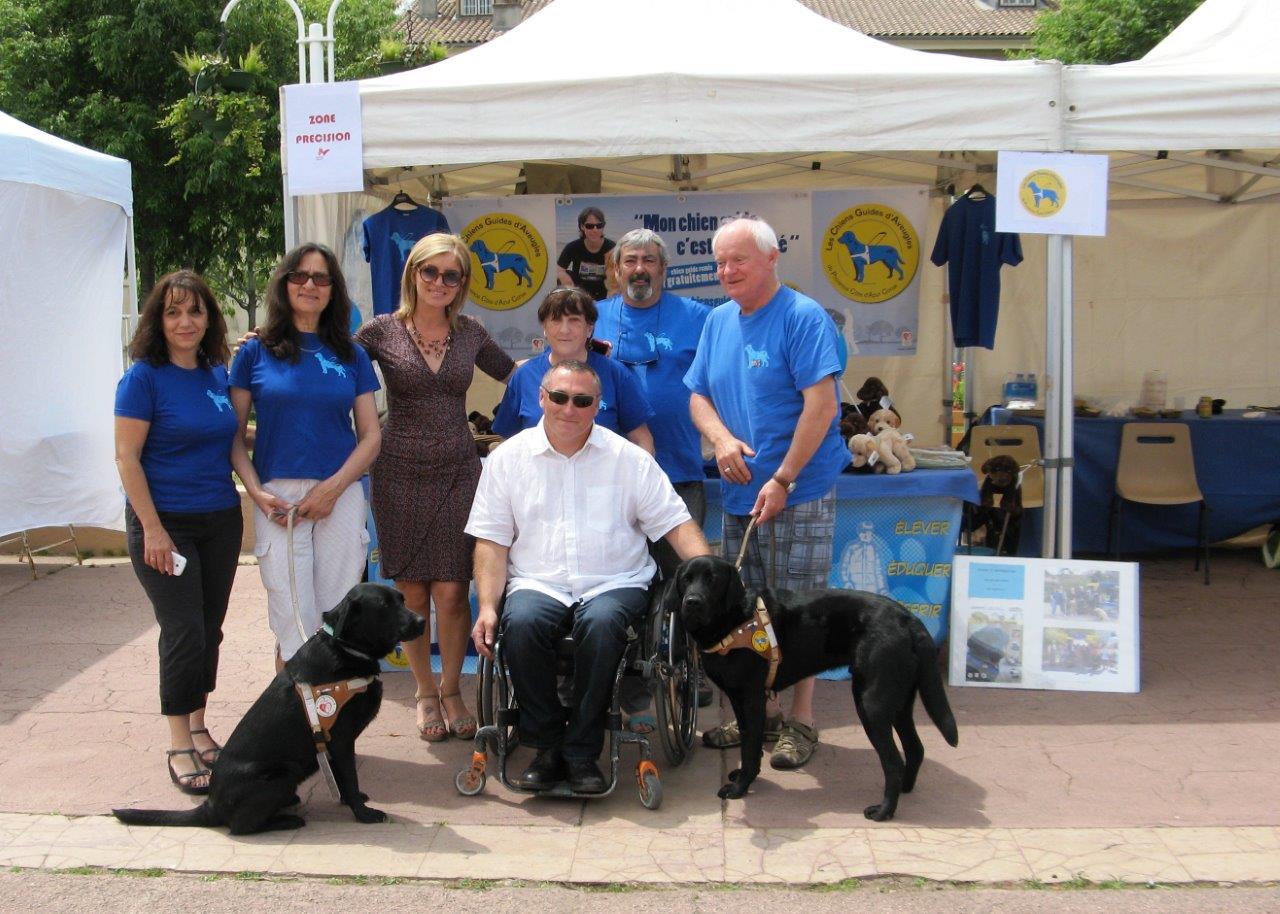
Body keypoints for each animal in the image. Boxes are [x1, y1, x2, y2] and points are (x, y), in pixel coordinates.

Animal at [112, 583, 422, 834]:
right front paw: (363, 813)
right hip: (281, 776)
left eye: (402, 599)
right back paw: (287, 821)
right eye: (384, 606)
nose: (421, 620)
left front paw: (348, 800)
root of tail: (210, 805)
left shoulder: (332, 742)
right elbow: (349, 776)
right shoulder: (341, 738)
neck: (346, 649)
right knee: (239, 827)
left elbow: (342, 777)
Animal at [670, 555, 962, 819]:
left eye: (713, 579)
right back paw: (904, 790)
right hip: (898, 701)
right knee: (915, 748)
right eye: (686, 579)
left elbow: (751, 748)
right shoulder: (739, 700)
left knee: (893, 762)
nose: (692, 602)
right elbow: (749, 742)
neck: (734, 621)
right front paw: (744, 776)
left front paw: (740, 787)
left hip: (872, 704)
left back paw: (884, 811)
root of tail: (909, 619)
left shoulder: (751, 699)